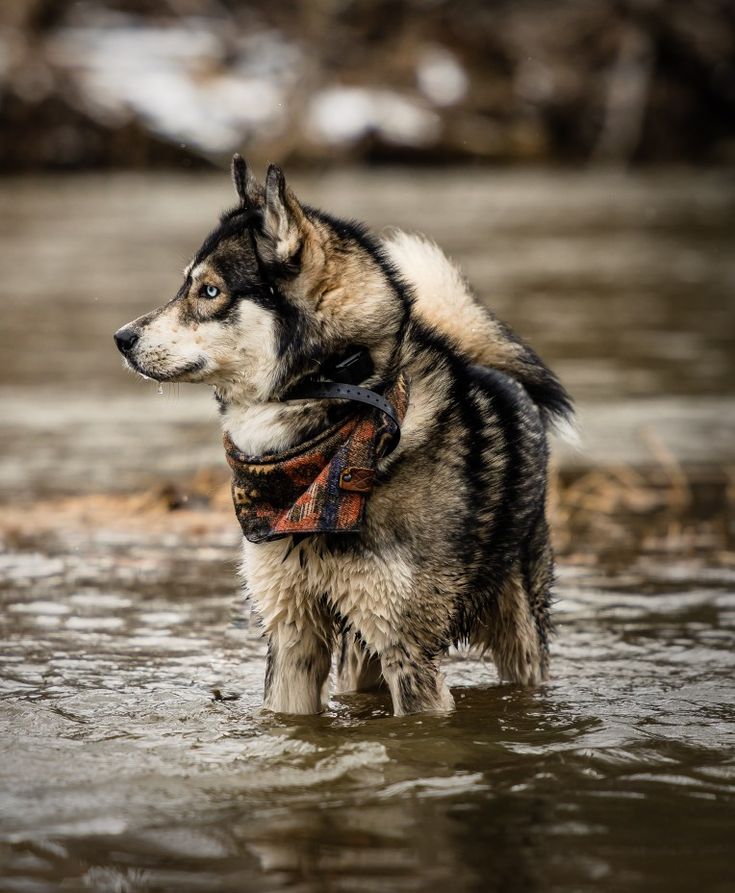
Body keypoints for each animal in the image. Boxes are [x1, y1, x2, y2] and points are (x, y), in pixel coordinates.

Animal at [116, 152, 576, 712]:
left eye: (209, 291)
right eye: (186, 285)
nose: (121, 338)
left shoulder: (408, 649)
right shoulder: (292, 632)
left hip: (517, 631)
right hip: (361, 652)